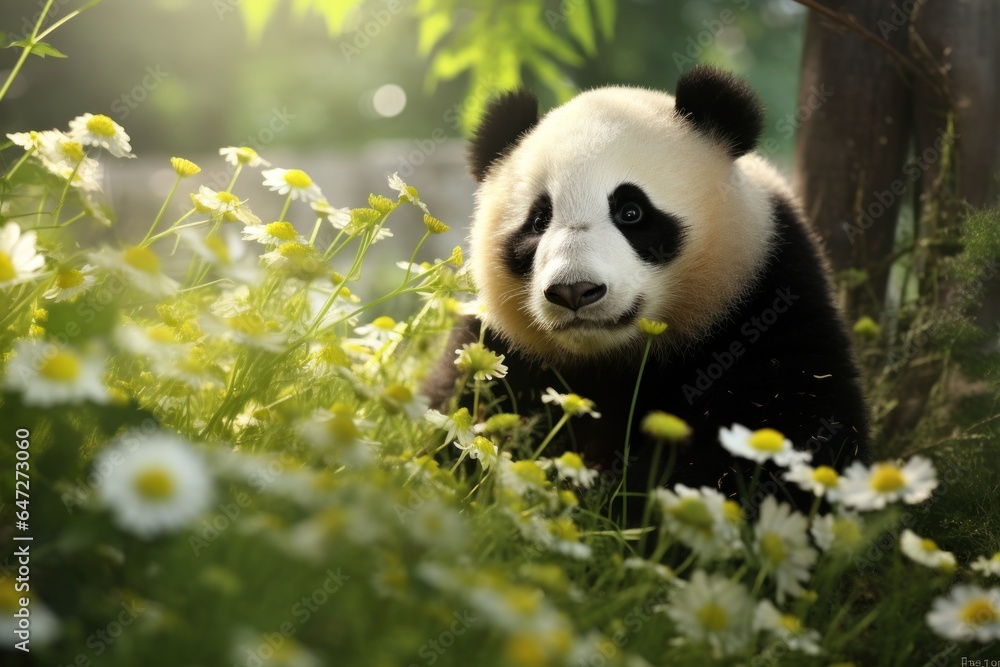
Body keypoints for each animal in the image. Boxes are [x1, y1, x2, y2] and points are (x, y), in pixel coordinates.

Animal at [426, 66, 870, 504]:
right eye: (538, 220)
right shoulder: (501, 345)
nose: (574, 291)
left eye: (631, 212)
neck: (615, 358)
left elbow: (790, 424)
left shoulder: (768, 297)